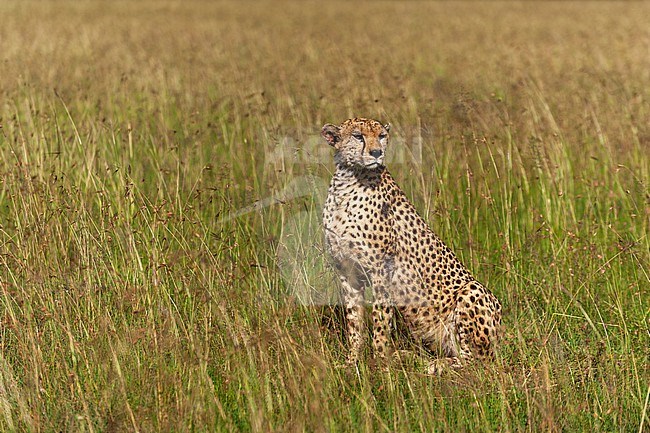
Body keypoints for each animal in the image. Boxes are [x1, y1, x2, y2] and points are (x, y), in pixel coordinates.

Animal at [320, 117, 502, 372]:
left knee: (475, 363)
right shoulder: (347, 271)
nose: (377, 153)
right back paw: (407, 356)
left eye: (382, 136)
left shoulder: (381, 271)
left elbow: (380, 323)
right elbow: (354, 322)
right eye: (358, 136)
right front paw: (352, 362)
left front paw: (381, 366)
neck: (348, 182)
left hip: (472, 292)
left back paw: (432, 365)